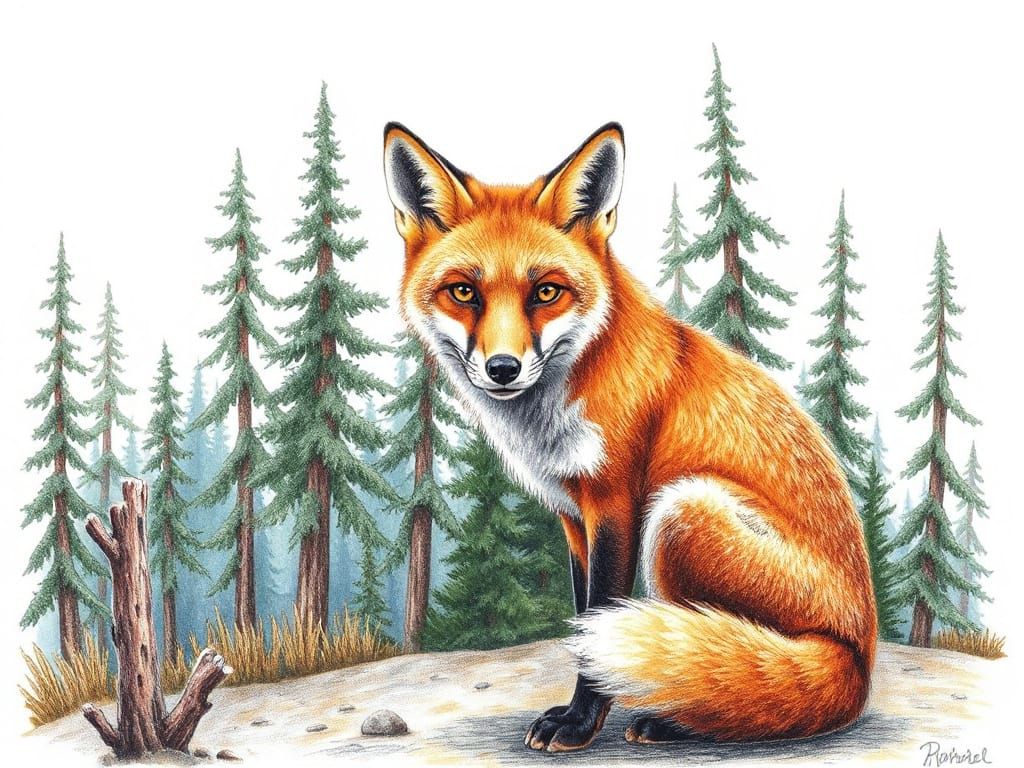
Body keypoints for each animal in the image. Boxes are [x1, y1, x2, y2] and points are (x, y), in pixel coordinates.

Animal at [382, 121, 877, 752]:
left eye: (546, 292)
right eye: (464, 292)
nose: (503, 369)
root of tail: (859, 659)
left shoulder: (616, 502)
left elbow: (597, 624)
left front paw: (578, 722)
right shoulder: (573, 516)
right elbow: (584, 618)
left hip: (682, 512)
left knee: (735, 675)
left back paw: (678, 718)